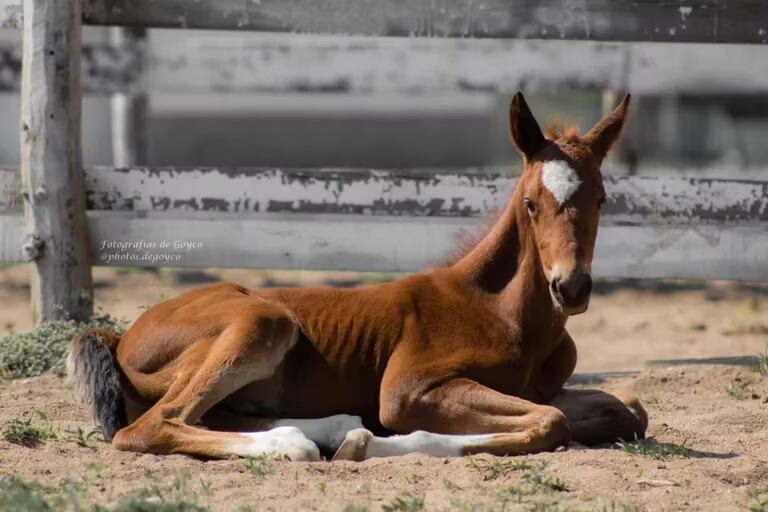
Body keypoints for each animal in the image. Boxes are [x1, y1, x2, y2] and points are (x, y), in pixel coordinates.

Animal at [70, 91, 648, 460]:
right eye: (531, 203)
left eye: (602, 199)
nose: (571, 287)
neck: (501, 311)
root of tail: (120, 336)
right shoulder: (407, 389)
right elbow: (551, 421)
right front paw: (376, 445)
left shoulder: (547, 388)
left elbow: (631, 410)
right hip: (261, 323)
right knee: (155, 425)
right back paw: (300, 444)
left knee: (206, 417)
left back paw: (330, 429)